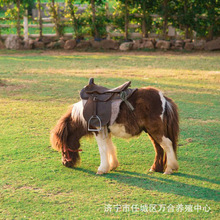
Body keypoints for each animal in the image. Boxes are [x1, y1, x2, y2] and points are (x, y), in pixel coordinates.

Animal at [50, 87, 180, 174]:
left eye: (63, 144)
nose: (65, 163)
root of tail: (163, 98)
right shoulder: (106, 131)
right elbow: (110, 147)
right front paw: (112, 166)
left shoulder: (98, 131)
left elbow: (103, 149)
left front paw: (102, 169)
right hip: (151, 132)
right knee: (159, 148)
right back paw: (155, 168)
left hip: (156, 130)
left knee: (167, 145)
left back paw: (169, 169)